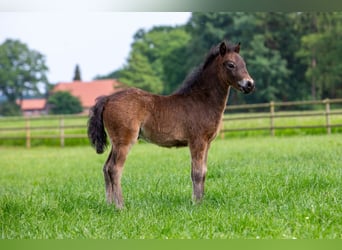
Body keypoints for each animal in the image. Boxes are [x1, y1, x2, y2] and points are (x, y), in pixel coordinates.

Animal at [88, 41, 254, 209]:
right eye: (231, 65)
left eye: (244, 64)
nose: (250, 84)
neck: (201, 101)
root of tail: (108, 98)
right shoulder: (197, 141)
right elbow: (196, 173)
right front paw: (196, 203)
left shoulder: (207, 143)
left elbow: (204, 172)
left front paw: (201, 201)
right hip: (125, 142)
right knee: (114, 169)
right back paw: (121, 206)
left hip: (116, 143)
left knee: (106, 168)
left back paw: (109, 205)